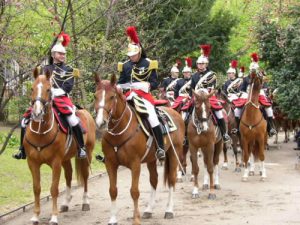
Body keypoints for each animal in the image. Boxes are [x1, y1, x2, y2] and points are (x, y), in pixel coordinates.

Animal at [24, 67, 95, 224]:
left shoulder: (55, 162)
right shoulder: (32, 162)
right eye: (32, 88)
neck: (41, 132)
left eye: (49, 89)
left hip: (87, 154)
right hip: (66, 158)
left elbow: (54, 189)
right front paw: (35, 216)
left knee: (85, 176)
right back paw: (66, 203)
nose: (37, 113)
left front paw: (54, 217)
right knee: (69, 175)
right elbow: (36, 188)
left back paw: (85, 202)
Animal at [94, 74, 185, 225]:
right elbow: (112, 190)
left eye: (112, 97)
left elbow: (134, 191)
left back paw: (169, 210)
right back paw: (148, 210)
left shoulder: (135, 164)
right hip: (152, 159)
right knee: (154, 180)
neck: (119, 132)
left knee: (172, 179)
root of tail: (174, 112)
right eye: (95, 96)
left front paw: (136, 219)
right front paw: (113, 219)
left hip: (174, 153)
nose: (101, 123)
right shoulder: (110, 164)